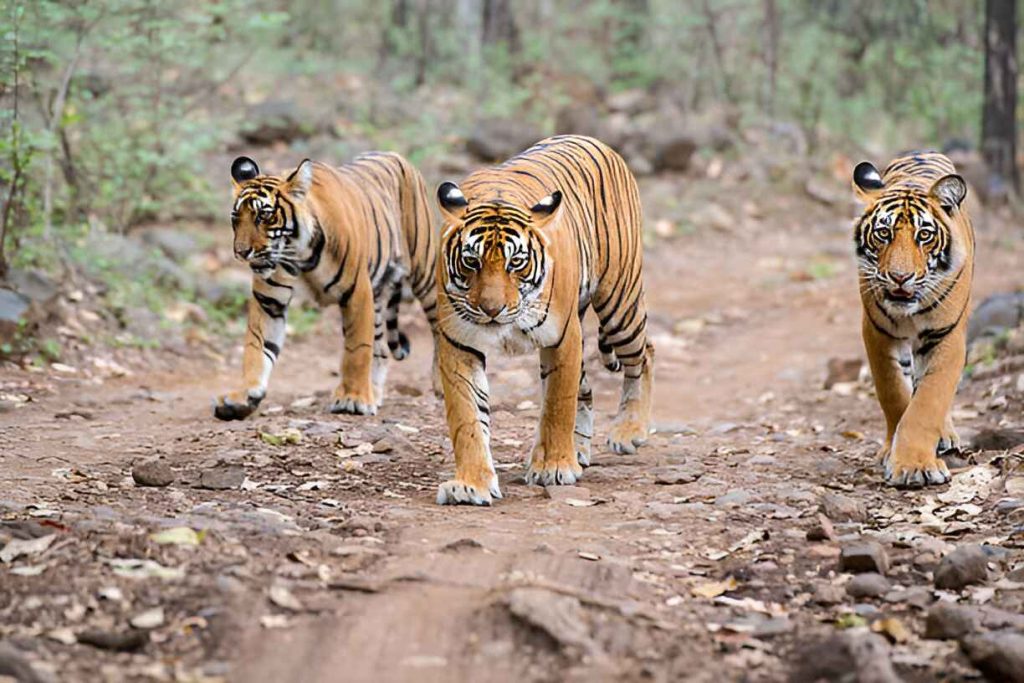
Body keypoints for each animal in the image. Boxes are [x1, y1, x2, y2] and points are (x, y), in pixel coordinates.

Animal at [214, 153, 438, 421]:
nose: (241, 252)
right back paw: (374, 392)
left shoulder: (357, 292)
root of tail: (395, 155)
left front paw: (353, 398)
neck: (299, 254)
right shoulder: (269, 301)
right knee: (381, 347)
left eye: (263, 216)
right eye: (236, 218)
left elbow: (357, 349)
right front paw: (242, 397)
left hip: (424, 272)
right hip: (379, 295)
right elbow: (256, 346)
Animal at [432, 136, 655, 505]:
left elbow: (557, 405)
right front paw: (471, 484)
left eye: (516, 262)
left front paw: (554, 467)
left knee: (644, 354)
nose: (492, 309)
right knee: (587, 388)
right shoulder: (458, 342)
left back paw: (628, 431)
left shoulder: (562, 337)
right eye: (471, 261)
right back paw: (579, 449)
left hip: (619, 303)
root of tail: (595, 141)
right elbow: (467, 417)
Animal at [847, 152, 974, 489]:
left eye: (924, 235)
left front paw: (916, 465)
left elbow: (928, 402)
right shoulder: (877, 333)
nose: (900, 277)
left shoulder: (947, 337)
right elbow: (893, 393)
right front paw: (895, 455)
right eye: (883, 233)